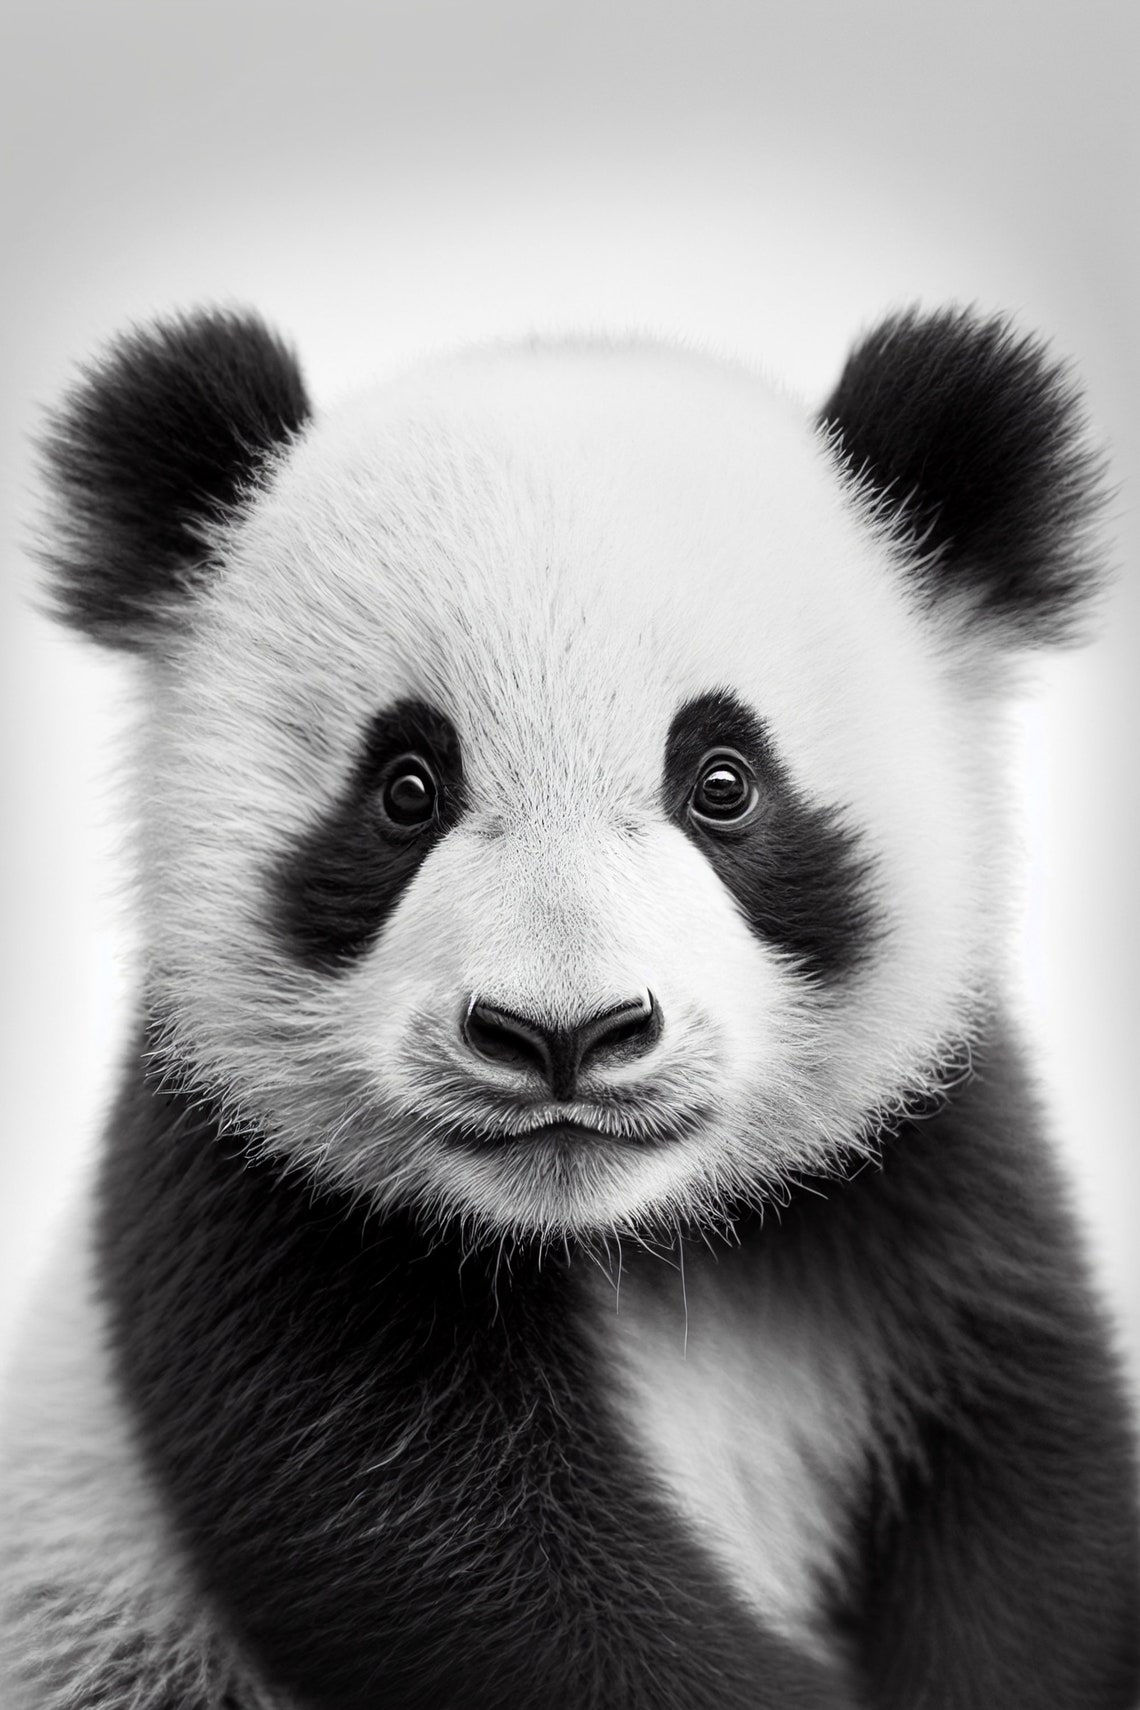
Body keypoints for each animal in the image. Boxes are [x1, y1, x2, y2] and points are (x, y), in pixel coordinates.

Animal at [0, 305, 1137, 1710]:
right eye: (406, 788)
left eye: (723, 782)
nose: (564, 1036)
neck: (634, 1239)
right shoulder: (257, 1196)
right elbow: (443, 1545)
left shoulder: (924, 1177)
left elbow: (1026, 1479)